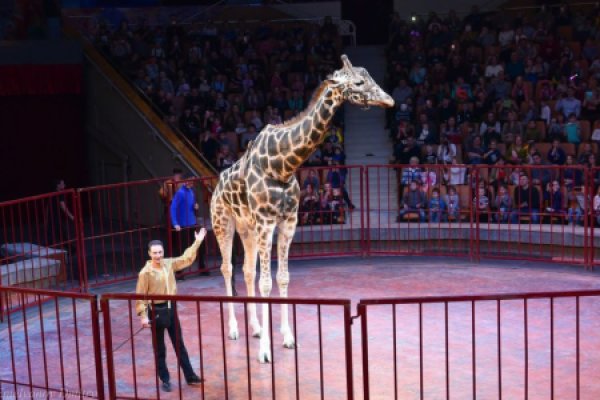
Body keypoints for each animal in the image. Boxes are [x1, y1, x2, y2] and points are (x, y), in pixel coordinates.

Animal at [210, 54, 394, 362]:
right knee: (226, 268)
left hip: (247, 228)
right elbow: (267, 282)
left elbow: (282, 278)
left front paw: (286, 337)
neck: (282, 165)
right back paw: (234, 329)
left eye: (369, 78)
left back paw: (256, 328)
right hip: (223, 223)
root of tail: (214, 187)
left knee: (246, 270)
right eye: (358, 82)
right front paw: (265, 352)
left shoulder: (288, 221)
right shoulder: (266, 222)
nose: (389, 100)